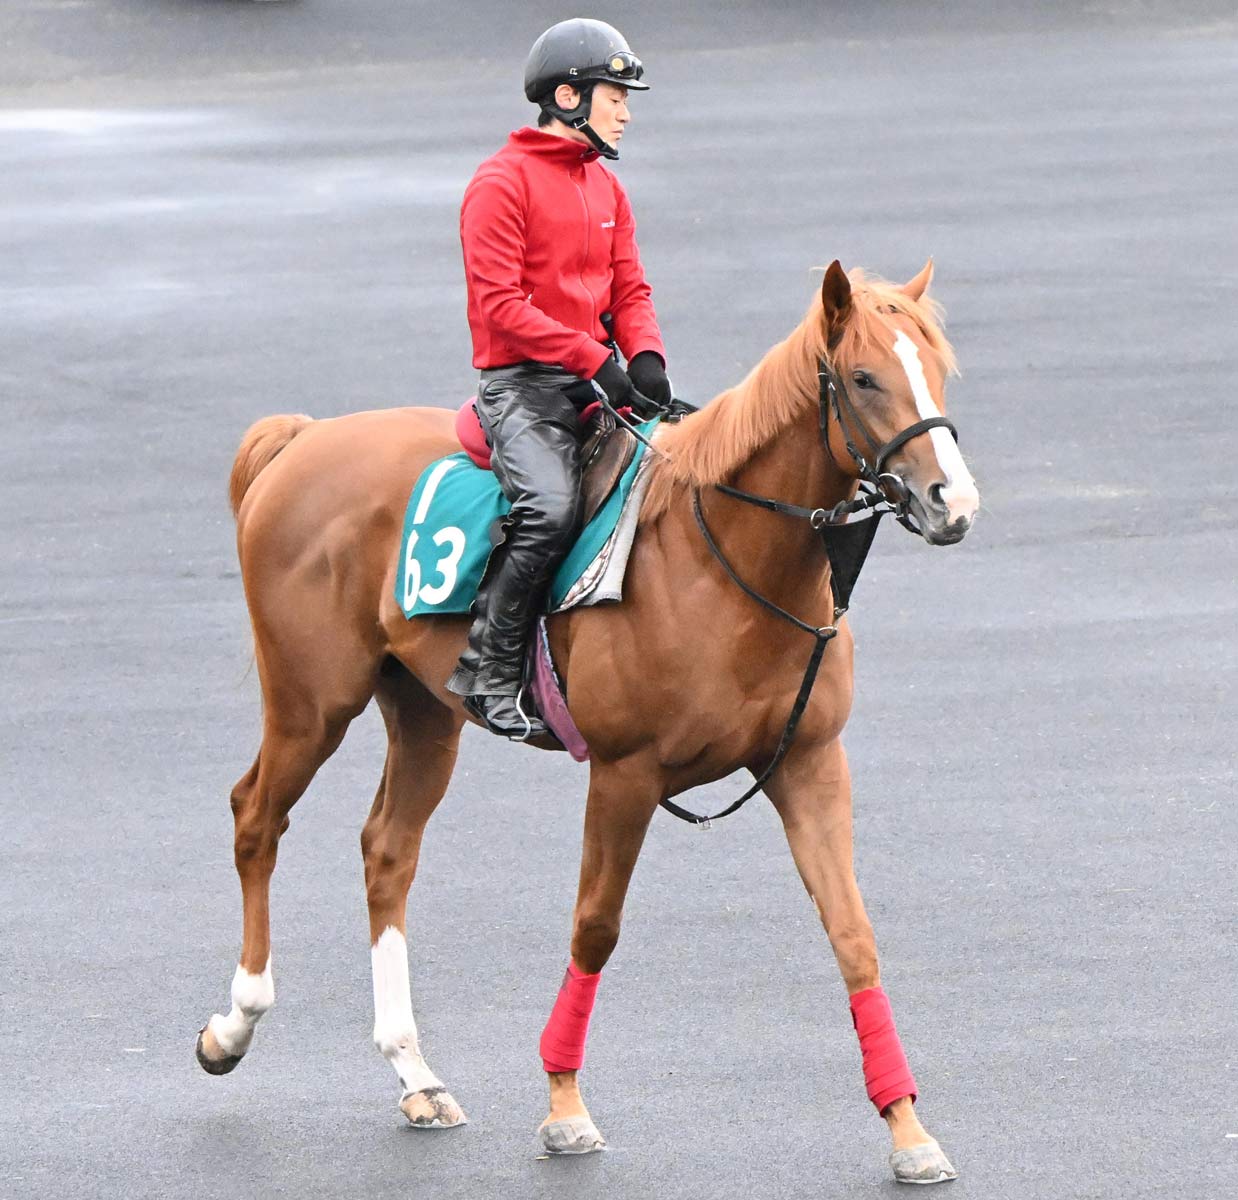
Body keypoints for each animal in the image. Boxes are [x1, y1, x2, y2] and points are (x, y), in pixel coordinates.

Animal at [195, 259, 979, 1185]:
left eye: (938, 371)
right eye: (862, 378)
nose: (953, 499)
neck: (721, 561)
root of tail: (302, 439)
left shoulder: (809, 763)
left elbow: (854, 936)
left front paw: (907, 1128)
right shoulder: (624, 775)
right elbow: (595, 929)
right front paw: (565, 1108)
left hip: (422, 713)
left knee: (387, 851)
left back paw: (415, 1074)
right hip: (312, 703)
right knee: (256, 819)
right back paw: (234, 1024)